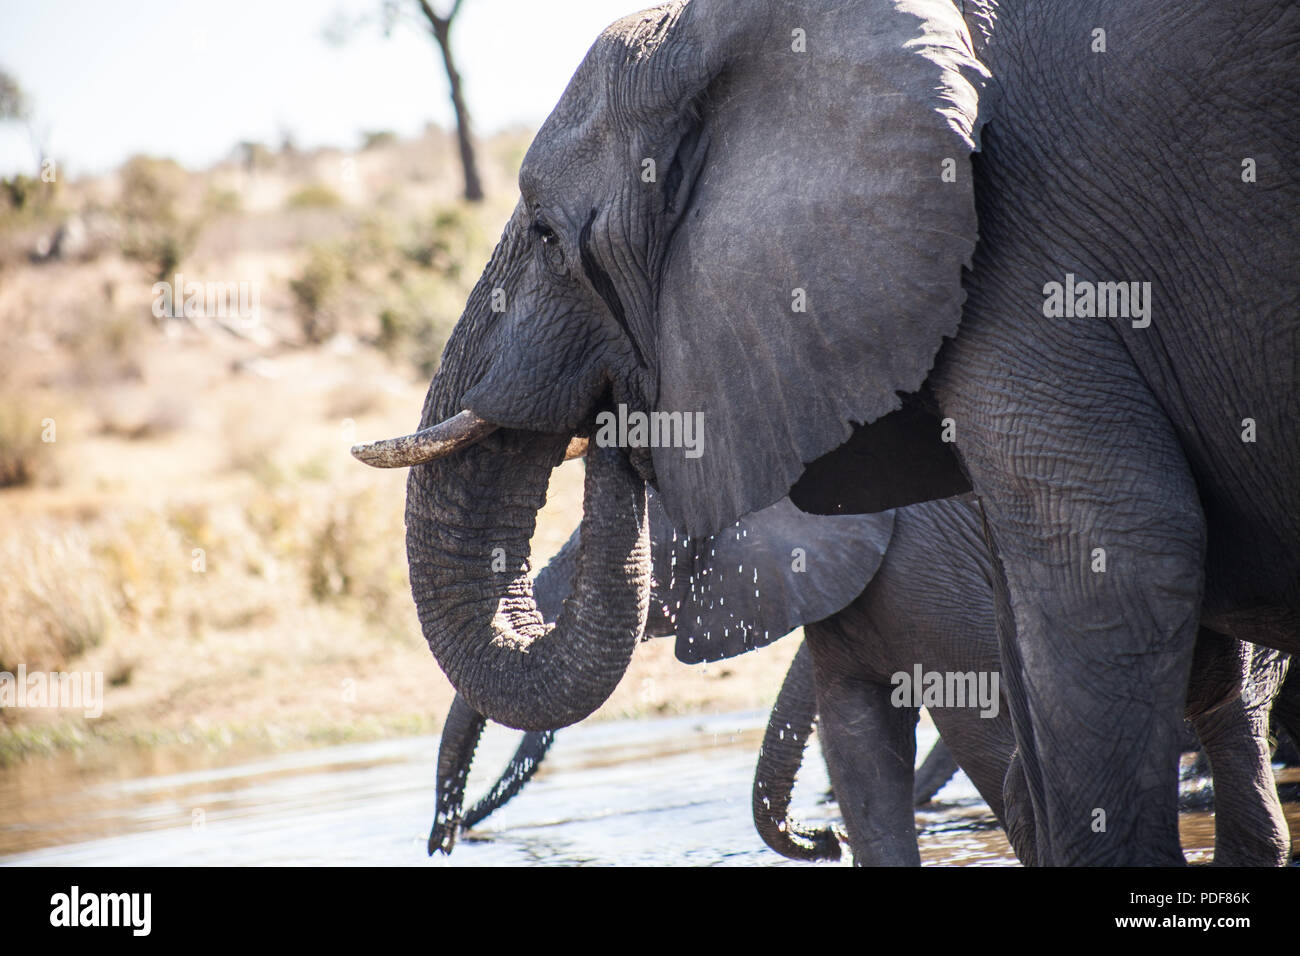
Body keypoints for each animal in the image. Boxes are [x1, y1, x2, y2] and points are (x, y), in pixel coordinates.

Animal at [352, 0, 1300, 864]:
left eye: (550, 238)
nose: (443, 840)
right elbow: (862, 754)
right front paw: (850, 829)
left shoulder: (1029, 263)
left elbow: (1113, 570)